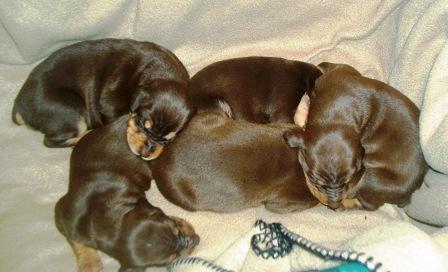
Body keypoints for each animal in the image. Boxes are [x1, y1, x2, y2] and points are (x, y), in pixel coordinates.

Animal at [12, 38, 192, 159]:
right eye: (142, 124)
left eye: (167, 140)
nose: (145, 153)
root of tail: (19, 107)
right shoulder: (108, 104)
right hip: (72, 112)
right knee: (50, 141)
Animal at [54, 115, 198, 272]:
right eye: (174, 257)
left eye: (175, 228)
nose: (195, 239)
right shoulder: (64, 214)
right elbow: (76, 240)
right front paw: (89, 263)